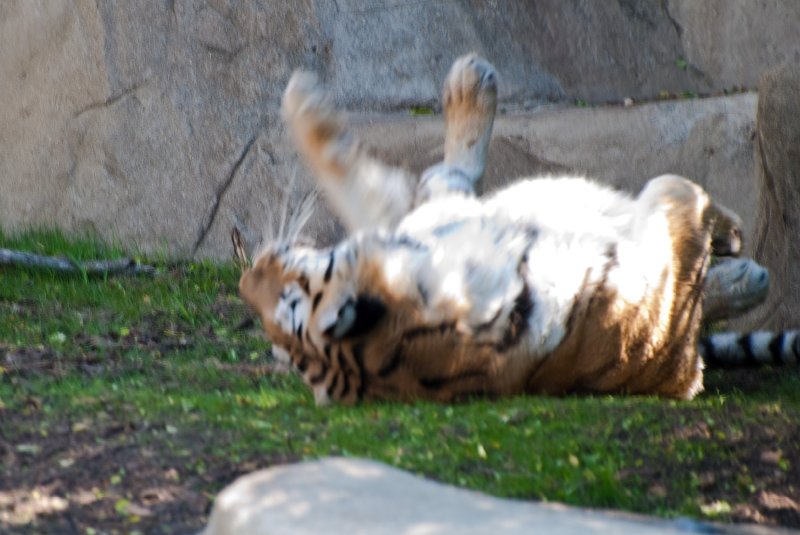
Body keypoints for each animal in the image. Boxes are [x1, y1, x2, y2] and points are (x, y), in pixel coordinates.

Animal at [239, 54, 798, 405]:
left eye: (287, 290)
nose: (247, 278)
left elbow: (351, 165)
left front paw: (300, 95)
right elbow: (683, 208)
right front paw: (731, 250)